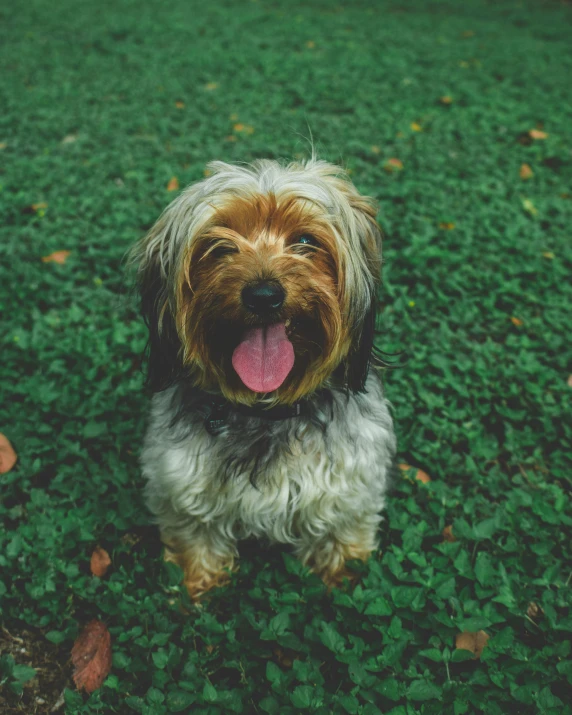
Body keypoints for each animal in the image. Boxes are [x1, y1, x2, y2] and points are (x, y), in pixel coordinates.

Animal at [132, 159, 396, 600]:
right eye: (220, 245)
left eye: (305, 240)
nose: (263, 295)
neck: (266, 409)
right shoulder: (182, 482)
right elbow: (194, 535)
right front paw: (195, 585)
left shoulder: (349, 481)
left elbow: (341, 528)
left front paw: (343, 576)